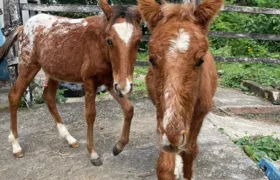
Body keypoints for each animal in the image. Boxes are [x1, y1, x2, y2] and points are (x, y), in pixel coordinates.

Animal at [0, 0, 140, 166]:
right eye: (109, 40)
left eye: (138, 41)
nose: (125, 86)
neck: (99, 44)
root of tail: (22, 27)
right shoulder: (90, 81)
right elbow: (90, 114)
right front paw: (93, 153)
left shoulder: (110, 81)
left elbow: (129, 109)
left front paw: (118, 147)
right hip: (28, 66)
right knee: (14, 96)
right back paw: (16, 146)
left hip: (53, 72)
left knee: (48, 97)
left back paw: (69, 138)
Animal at [138, 0, 223, 179]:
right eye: (151, 59)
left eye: (200, 60)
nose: (173, 136)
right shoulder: (161, 116)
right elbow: (165, 166)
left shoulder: (198, 117)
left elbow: (190, 153)